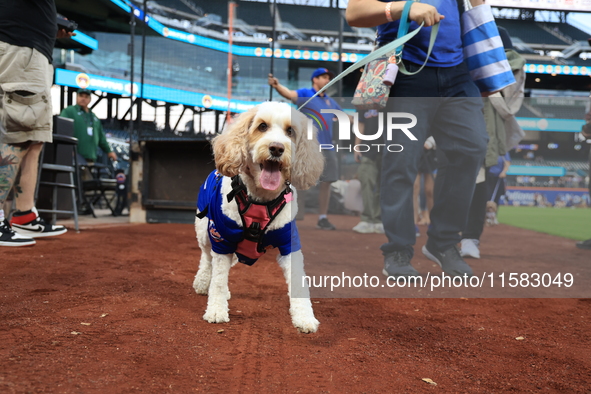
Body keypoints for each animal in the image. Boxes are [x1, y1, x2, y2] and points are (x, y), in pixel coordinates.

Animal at [194, 101, 324, 332]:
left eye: (290, 131)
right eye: (262, 126)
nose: (277, 148)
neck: (261, 200)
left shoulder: (289, 243)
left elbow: (299, 281)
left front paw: (304, 317)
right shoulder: (222, 238)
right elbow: (217, 280)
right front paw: (216, 310)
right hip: (205, 232)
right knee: (207, 259)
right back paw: (202, 283)